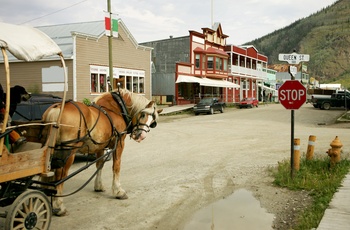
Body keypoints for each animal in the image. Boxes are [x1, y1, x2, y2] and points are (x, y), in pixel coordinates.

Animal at [41, 88, 162, 216]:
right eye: (143, 114)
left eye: (153, 122)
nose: (141, 136)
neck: (116, 108)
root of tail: (57, 108)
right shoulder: (119, 143)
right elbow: (116, 166)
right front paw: (118, 191)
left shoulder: (100, 146)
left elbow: (99, 165)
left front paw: (98, 186)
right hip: (68, 152)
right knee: (60, 174)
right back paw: (59, 206)